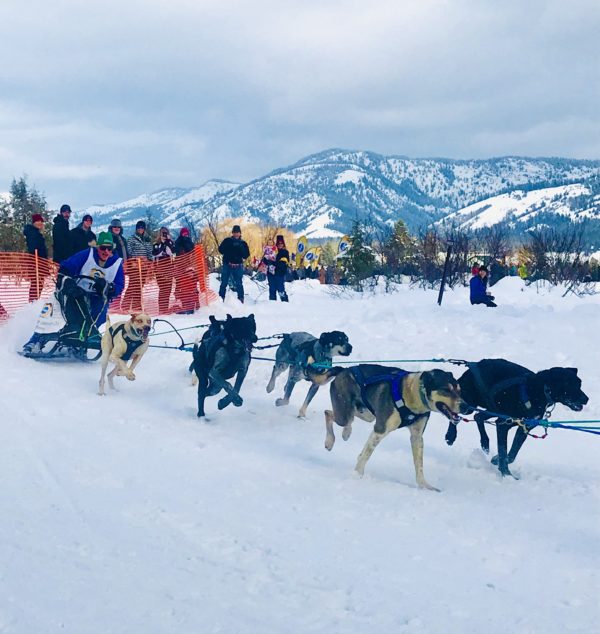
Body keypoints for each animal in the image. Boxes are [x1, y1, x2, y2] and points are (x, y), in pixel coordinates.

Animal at [321, 364, 471, 491]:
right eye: (446, 390)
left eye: (459, 390)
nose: (467, 407)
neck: (411, 395)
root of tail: (343, 370)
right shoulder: (379, 430)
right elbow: (365, 455)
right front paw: (356, 476)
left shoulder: (417, 436)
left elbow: (419, 465)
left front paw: (424, 485)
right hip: (345, 414)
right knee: (329, 413)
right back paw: (330, 441)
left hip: (366, 414)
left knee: (341, 417)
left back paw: (346, 432)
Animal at [444, 359, 589, 478]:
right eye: (569, 384)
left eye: (579, 383)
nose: (586, 399)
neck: (537, 390)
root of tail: (473, 365)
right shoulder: (503, 425)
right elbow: (503, 451)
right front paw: (506, 474)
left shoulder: (524, 429)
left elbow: (513, 453)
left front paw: (496, 460)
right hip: (470, 404)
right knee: (456, 415)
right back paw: (451, 436)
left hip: (493, 410)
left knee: (478, 416)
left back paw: (485, 442)